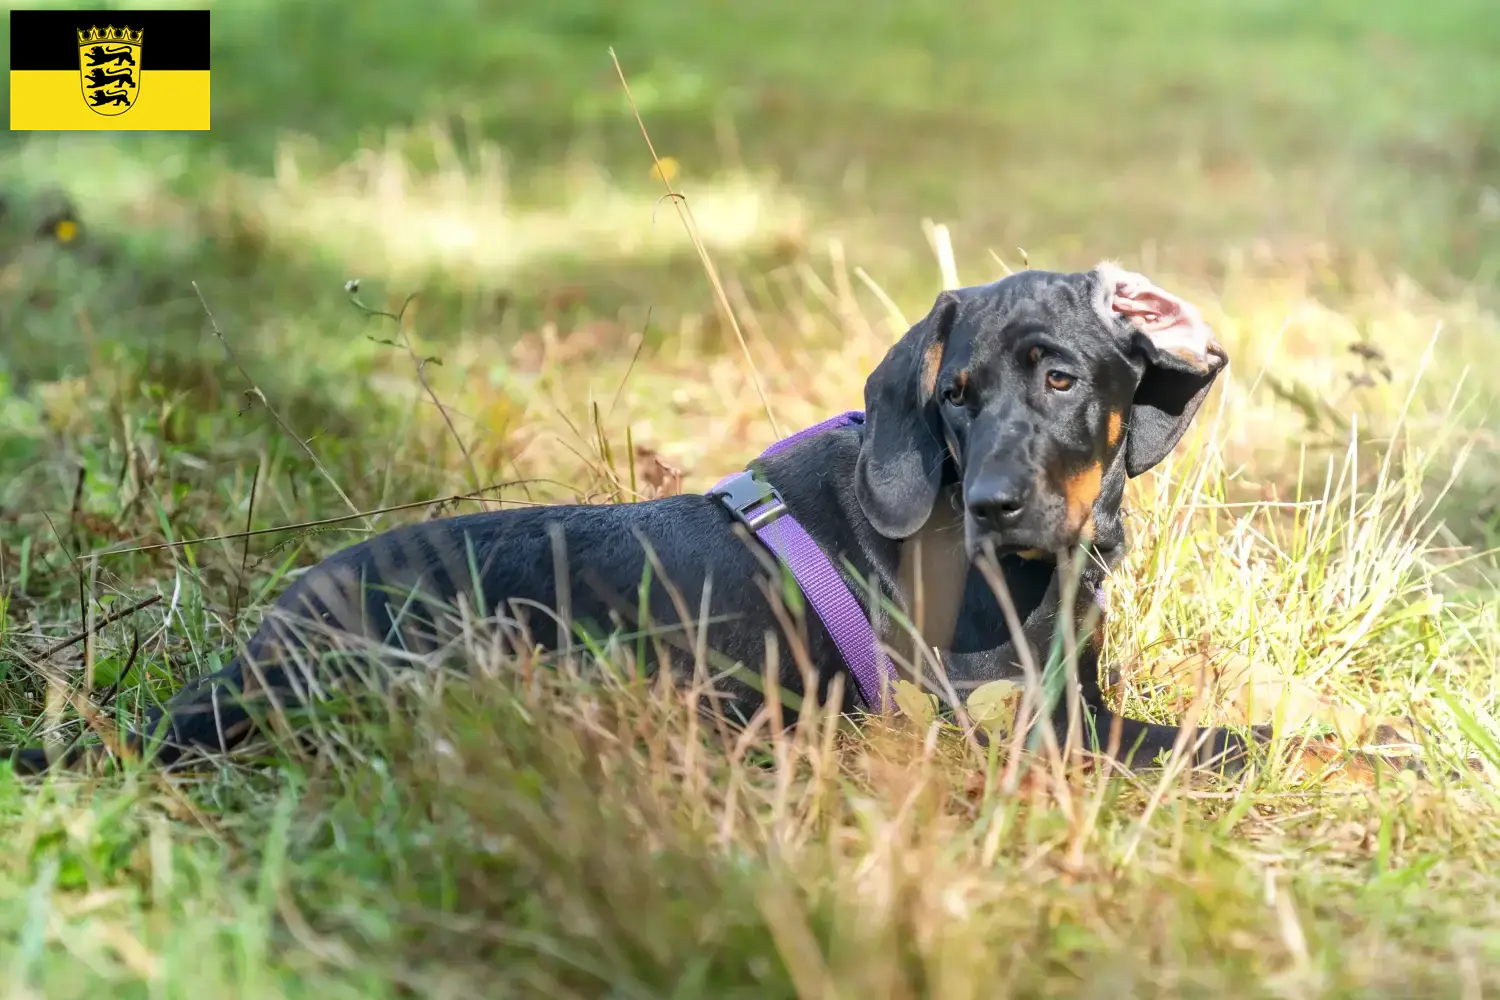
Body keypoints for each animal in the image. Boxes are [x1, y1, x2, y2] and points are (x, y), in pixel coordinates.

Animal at [11, 263, 1260, 773]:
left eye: (1059, 378)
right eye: (954, 394)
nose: (995, 505)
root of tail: (258, 648)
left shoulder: (1072, 695)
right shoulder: (1026, 725)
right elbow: (1225, 743)